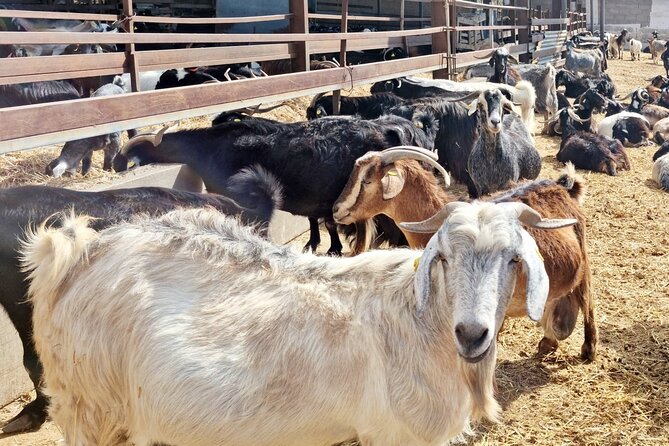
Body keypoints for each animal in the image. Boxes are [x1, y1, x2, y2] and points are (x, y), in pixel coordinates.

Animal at [21, 200, 575, 446]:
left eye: (512, 259)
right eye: (443, 259)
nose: (472, 333)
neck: (422, 321)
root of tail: (72, 255)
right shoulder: (396, 435)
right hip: (94, 410)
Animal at [333, 148, 596, 360]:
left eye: (367, 180)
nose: (336, 210)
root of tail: (563, 187)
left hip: (583, 254)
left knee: (587, 296)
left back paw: (589, 348)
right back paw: (549, 342)